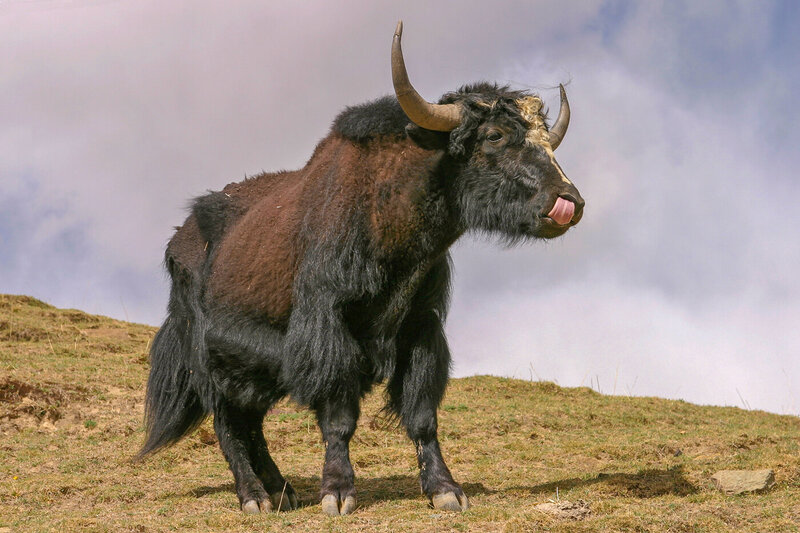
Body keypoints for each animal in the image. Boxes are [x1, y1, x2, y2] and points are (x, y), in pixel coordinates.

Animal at [138, 21, 585, 516]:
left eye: (545, 139)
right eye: (494, 136)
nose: (569, 202)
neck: (388, 216)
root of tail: (178, 239)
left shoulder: (421, 329)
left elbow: (422, 415)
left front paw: (445, 490)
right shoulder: (329, 329)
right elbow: (338, 417)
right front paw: (337, 494)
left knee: (249, 421)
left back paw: (282, 491)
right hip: (209, 357)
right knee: (228, 423)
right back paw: (254, 498)